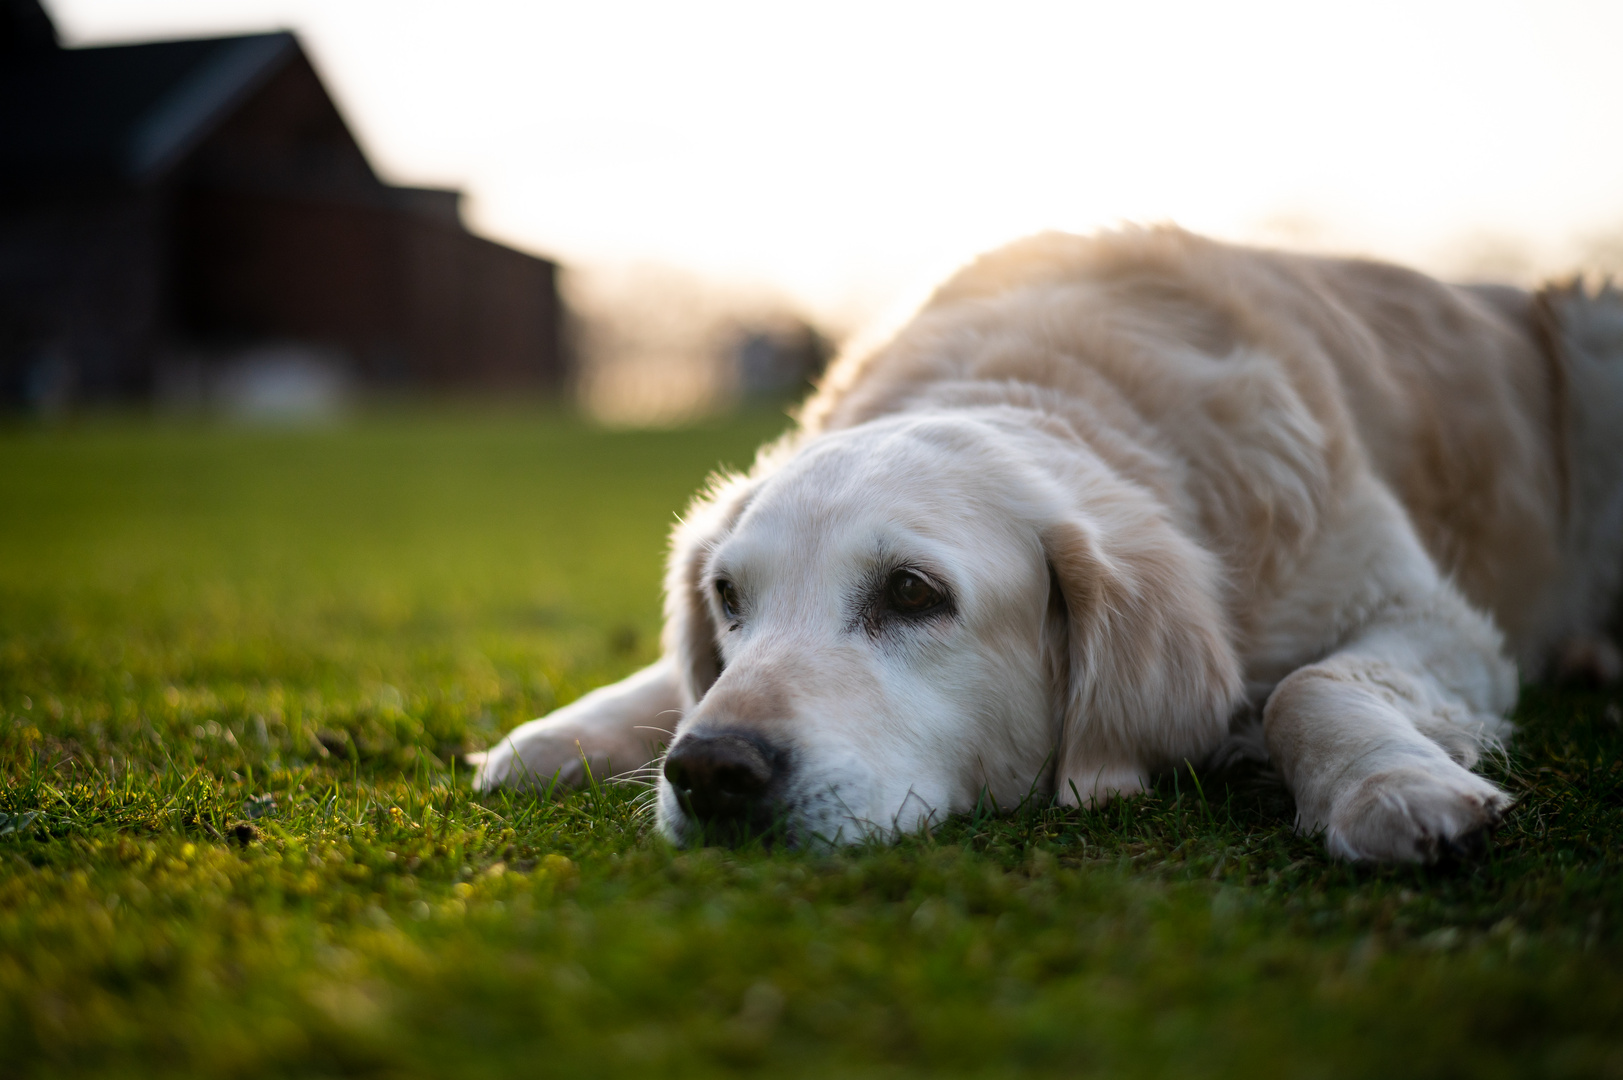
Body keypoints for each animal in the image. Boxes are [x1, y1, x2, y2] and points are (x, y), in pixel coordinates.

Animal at [470, 232, 1623, 864]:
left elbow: (1310, 686)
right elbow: (667, 682)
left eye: (912, 594)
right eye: (729, 601)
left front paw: (1389, 789)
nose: (710, 772)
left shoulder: (1433, 616)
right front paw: (557, 735)